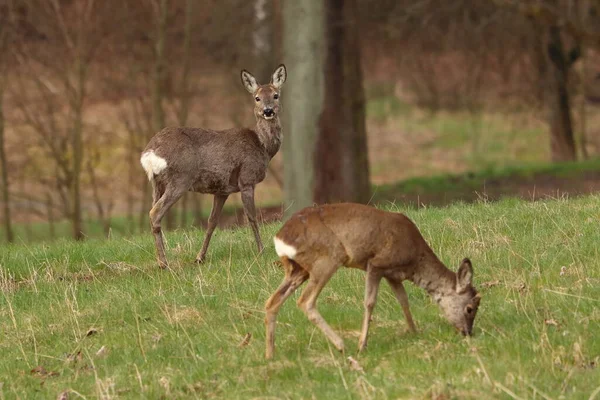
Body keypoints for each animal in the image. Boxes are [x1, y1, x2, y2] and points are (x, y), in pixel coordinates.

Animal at [143, 64, 288, 268]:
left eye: (276, 95)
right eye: (257, 98)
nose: (268, 111)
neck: (262, 146)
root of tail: (149, 153)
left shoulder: (222, 190)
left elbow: (212, 222)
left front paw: (199, 257)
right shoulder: (247, 179)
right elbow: (252, 217)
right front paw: (261, 251)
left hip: (157, 183)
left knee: (154, 213)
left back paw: (161, 259)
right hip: (180, 178)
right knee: (155, 213)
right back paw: (164, 263)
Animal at [264, 203, 480, 360]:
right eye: (470, 308)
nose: (467, 332)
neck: (415, 259)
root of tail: (279, 238)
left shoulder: (393, 275)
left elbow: (403, 300)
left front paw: (414, 332)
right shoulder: (376, 263)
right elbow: (370, 302)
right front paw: (362, 345)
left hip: (298, 270)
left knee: (272, 302)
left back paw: (270, 354)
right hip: (327, 258)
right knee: (305, 301)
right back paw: (341, 345)